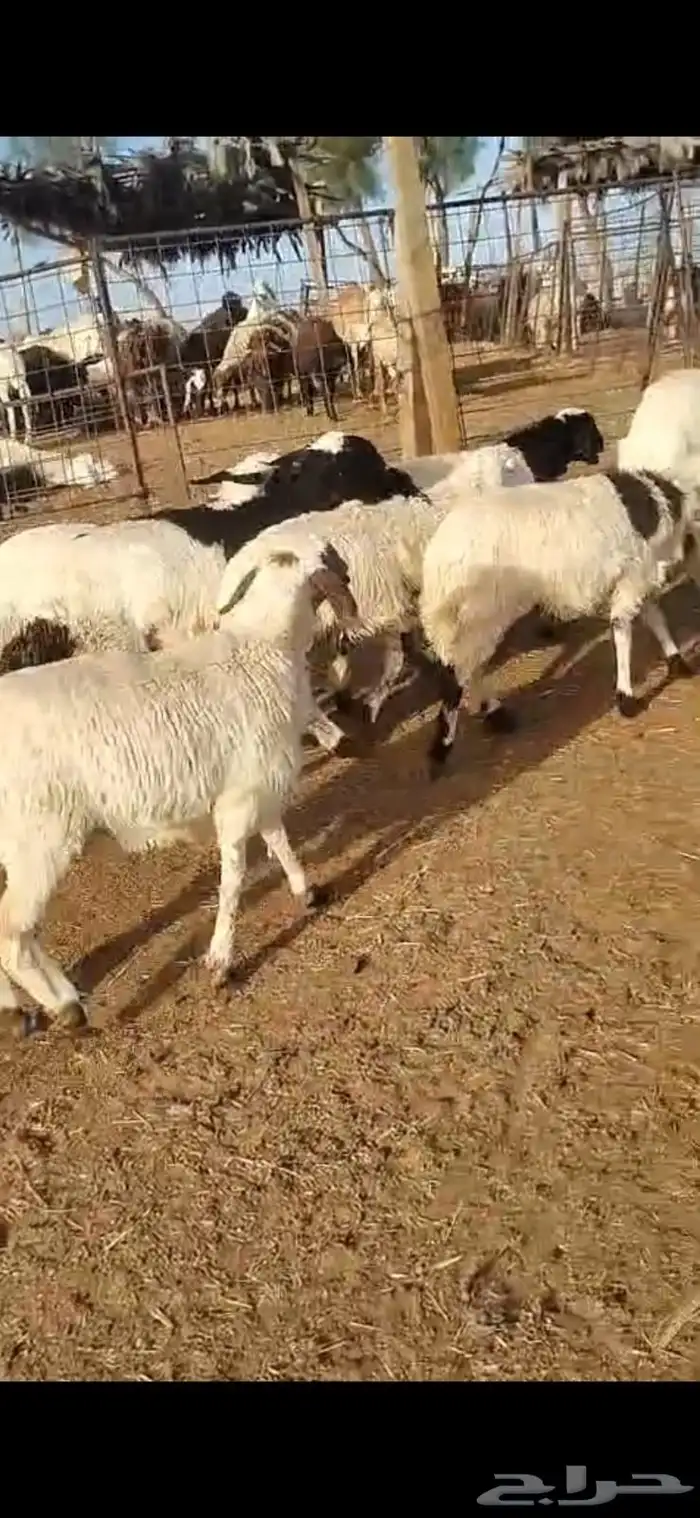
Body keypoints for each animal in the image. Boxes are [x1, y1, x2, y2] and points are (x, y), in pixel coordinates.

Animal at [0, 538, 356, 1035]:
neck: (260, 650)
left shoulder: (257, 784)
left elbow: (279, 840)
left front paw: (306, 890)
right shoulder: (237, 800)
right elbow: (234, 878)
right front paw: (221, 960)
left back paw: (31, 1006)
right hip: (40, 834)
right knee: (11, 932)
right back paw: (63, 1007)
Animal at [418, 467, 700, 774]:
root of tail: (439, 557)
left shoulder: (636, 579)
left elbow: (655, 617)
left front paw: (677, 662)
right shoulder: (634, 575)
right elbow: (623, 629)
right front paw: (626, 699)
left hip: (468, 618)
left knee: (471, 666)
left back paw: (495, 717)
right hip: (479, 613)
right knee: (457, 674)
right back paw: (443, 748)